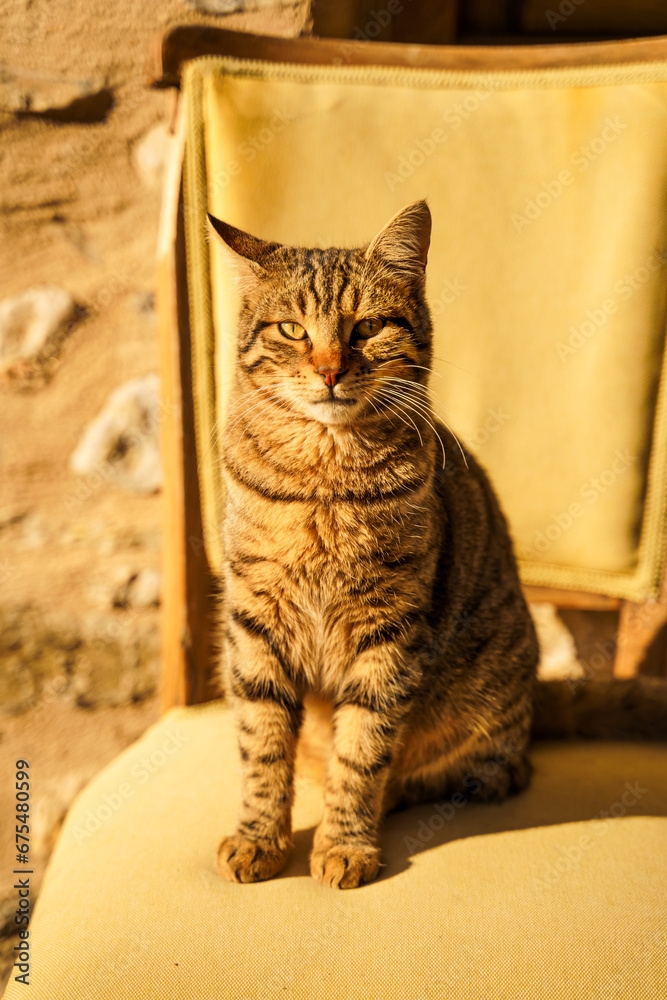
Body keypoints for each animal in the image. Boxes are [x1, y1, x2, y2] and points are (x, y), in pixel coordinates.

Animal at [209, 199, 544, 888]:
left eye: (367, 327)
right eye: (291, 330)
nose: (331, 370)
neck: (324, 481)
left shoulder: (389, 629)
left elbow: (362, 749)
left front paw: (344, 843)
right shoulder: (254, 621)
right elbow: (262, 744)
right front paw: (259, 837)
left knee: (488, 771)